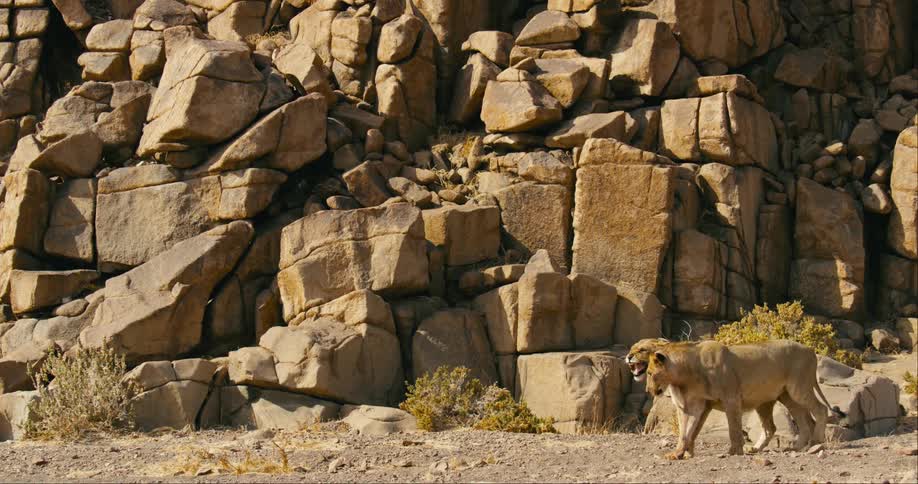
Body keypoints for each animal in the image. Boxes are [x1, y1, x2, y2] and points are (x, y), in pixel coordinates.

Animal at [633, 339, 840, 460]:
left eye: (650, 373)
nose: (648, 390)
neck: (685, 375)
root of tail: (811, 349)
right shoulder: (702, 405)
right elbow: (688, 431)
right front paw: (680, 453)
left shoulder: (730, 397)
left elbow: (733, 427)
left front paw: (734, 451)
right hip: (784, 396)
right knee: (783, 424)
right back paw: (791, 447)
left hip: (799, 388)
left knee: (819, 410)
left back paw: (814, 443)